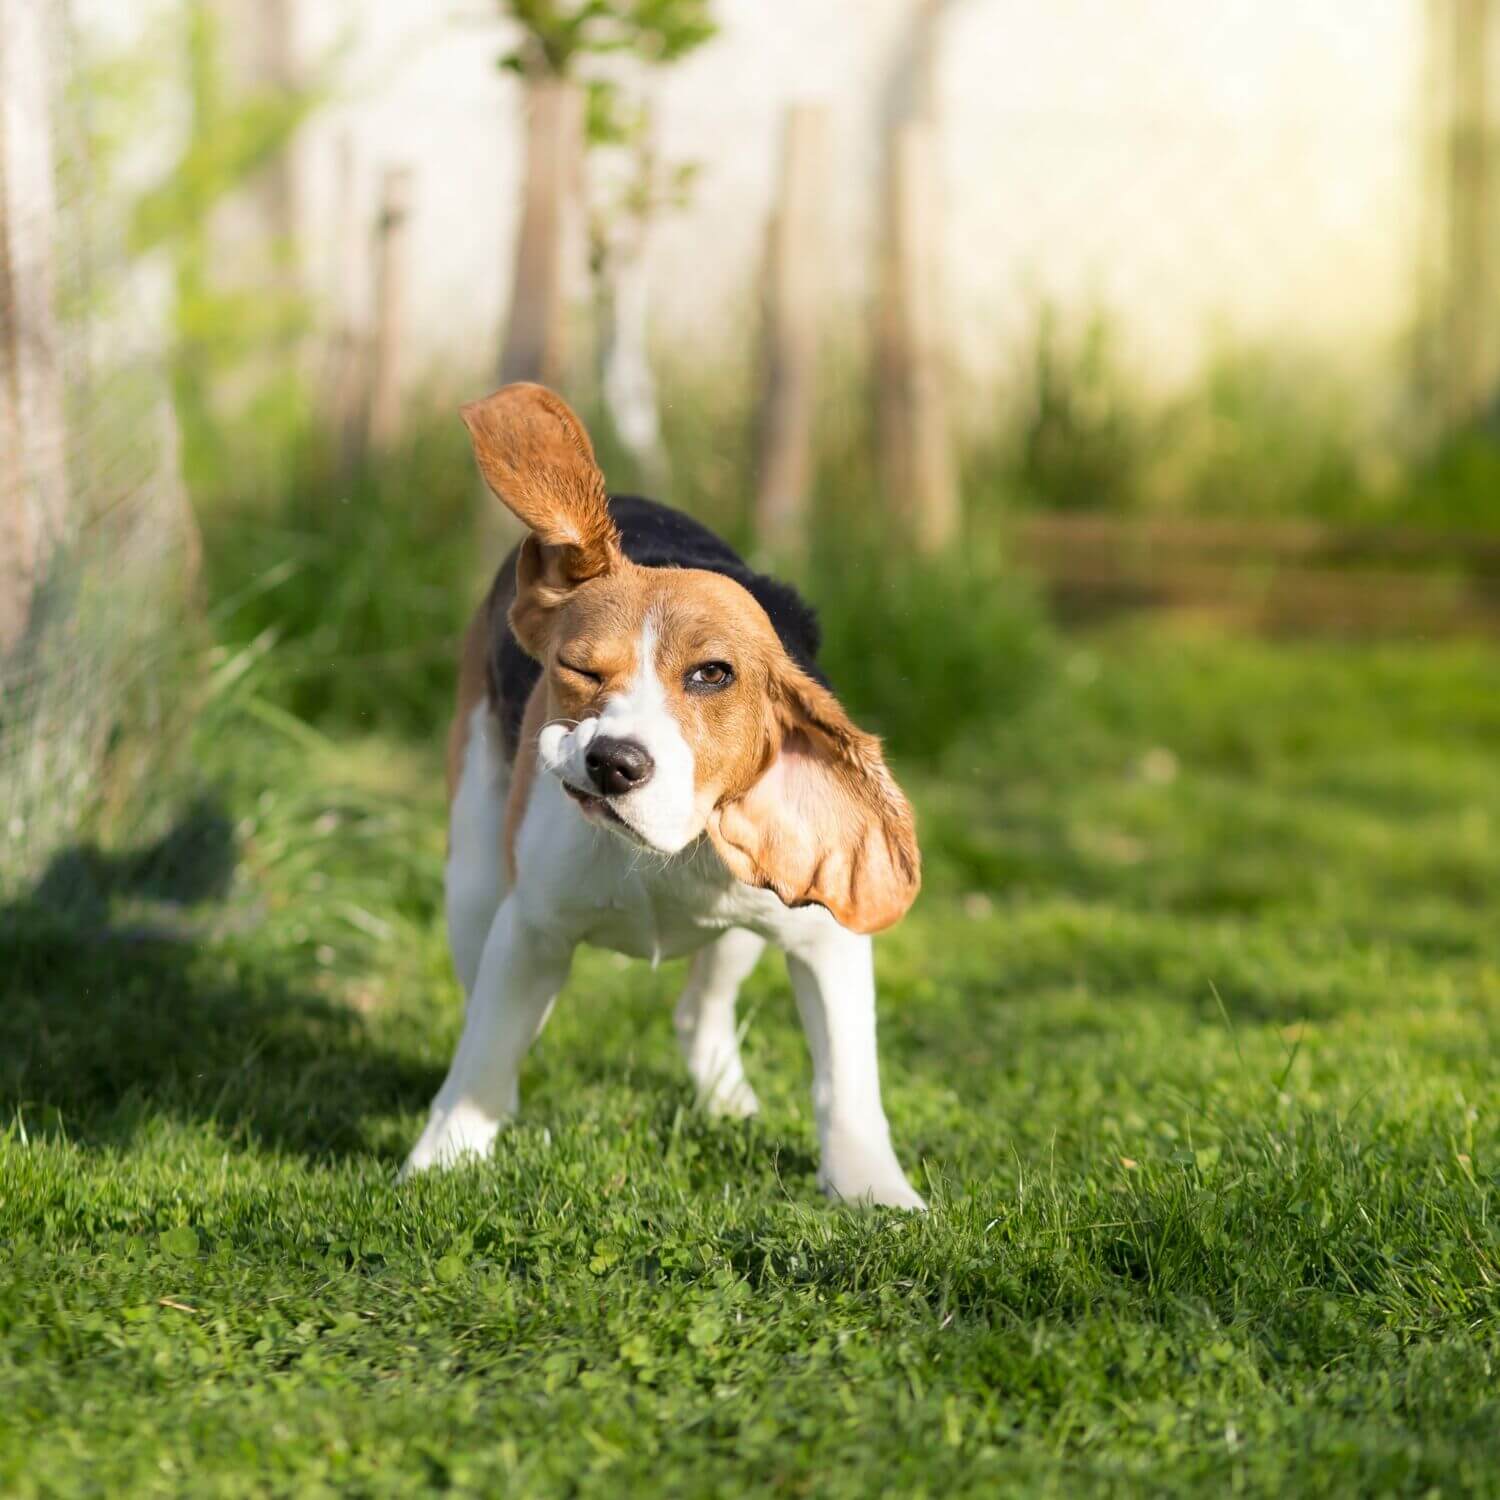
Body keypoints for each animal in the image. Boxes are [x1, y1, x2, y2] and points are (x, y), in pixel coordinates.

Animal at [405, 384, 930, 1206]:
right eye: (579, 670)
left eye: (712, 674)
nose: (613, 764)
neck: (664, 848)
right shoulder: (530, 929)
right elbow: (482, 1056)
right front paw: (443, 1161)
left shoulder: (825, 940)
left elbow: (847, 1083)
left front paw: (874, 1191)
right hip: (474, 880)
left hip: (748, 919)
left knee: (696, 1012)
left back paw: (726, 1099)